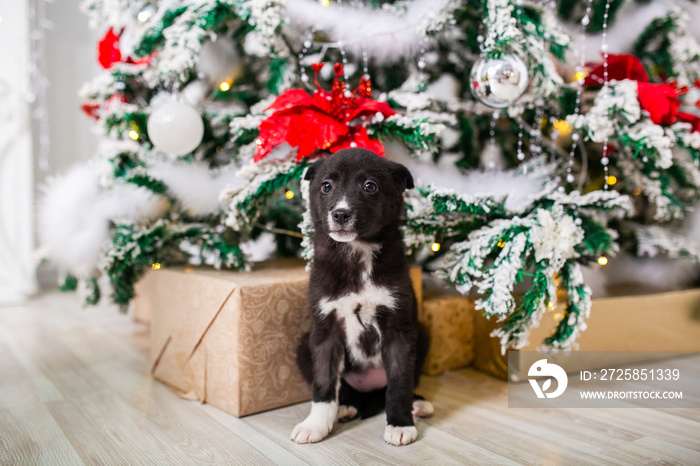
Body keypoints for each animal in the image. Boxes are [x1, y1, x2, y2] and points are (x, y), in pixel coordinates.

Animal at [292, 149, 432, 448]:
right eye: (326, 186)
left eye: (370, 186)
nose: (341, 214)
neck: (357, 254)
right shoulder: (325, 330)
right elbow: (323, 383)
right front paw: (315, 425)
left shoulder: (399, 330)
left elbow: (400, 382)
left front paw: (400, 424)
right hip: (303, 345)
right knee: (346, 390)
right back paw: (346, 406)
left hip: (421, 333)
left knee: (394, 386)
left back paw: (418, 403)